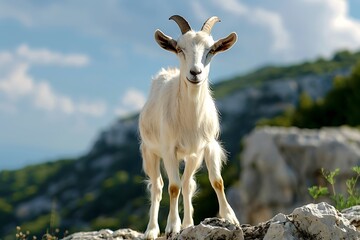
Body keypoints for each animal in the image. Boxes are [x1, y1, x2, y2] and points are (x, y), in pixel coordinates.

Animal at [140, 15, 239, 239]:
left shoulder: (208, 145)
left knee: (188, 184)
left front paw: (230, 218)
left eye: (211, 50)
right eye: (180, 49)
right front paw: (172, 227)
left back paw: (188, 223)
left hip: (192, 156)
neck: (190, 119)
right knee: (157, 187)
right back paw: (152, 230)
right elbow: (173, 187)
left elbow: (217, 181)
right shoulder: (169, 149)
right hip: (150, 151)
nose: (195, 73)